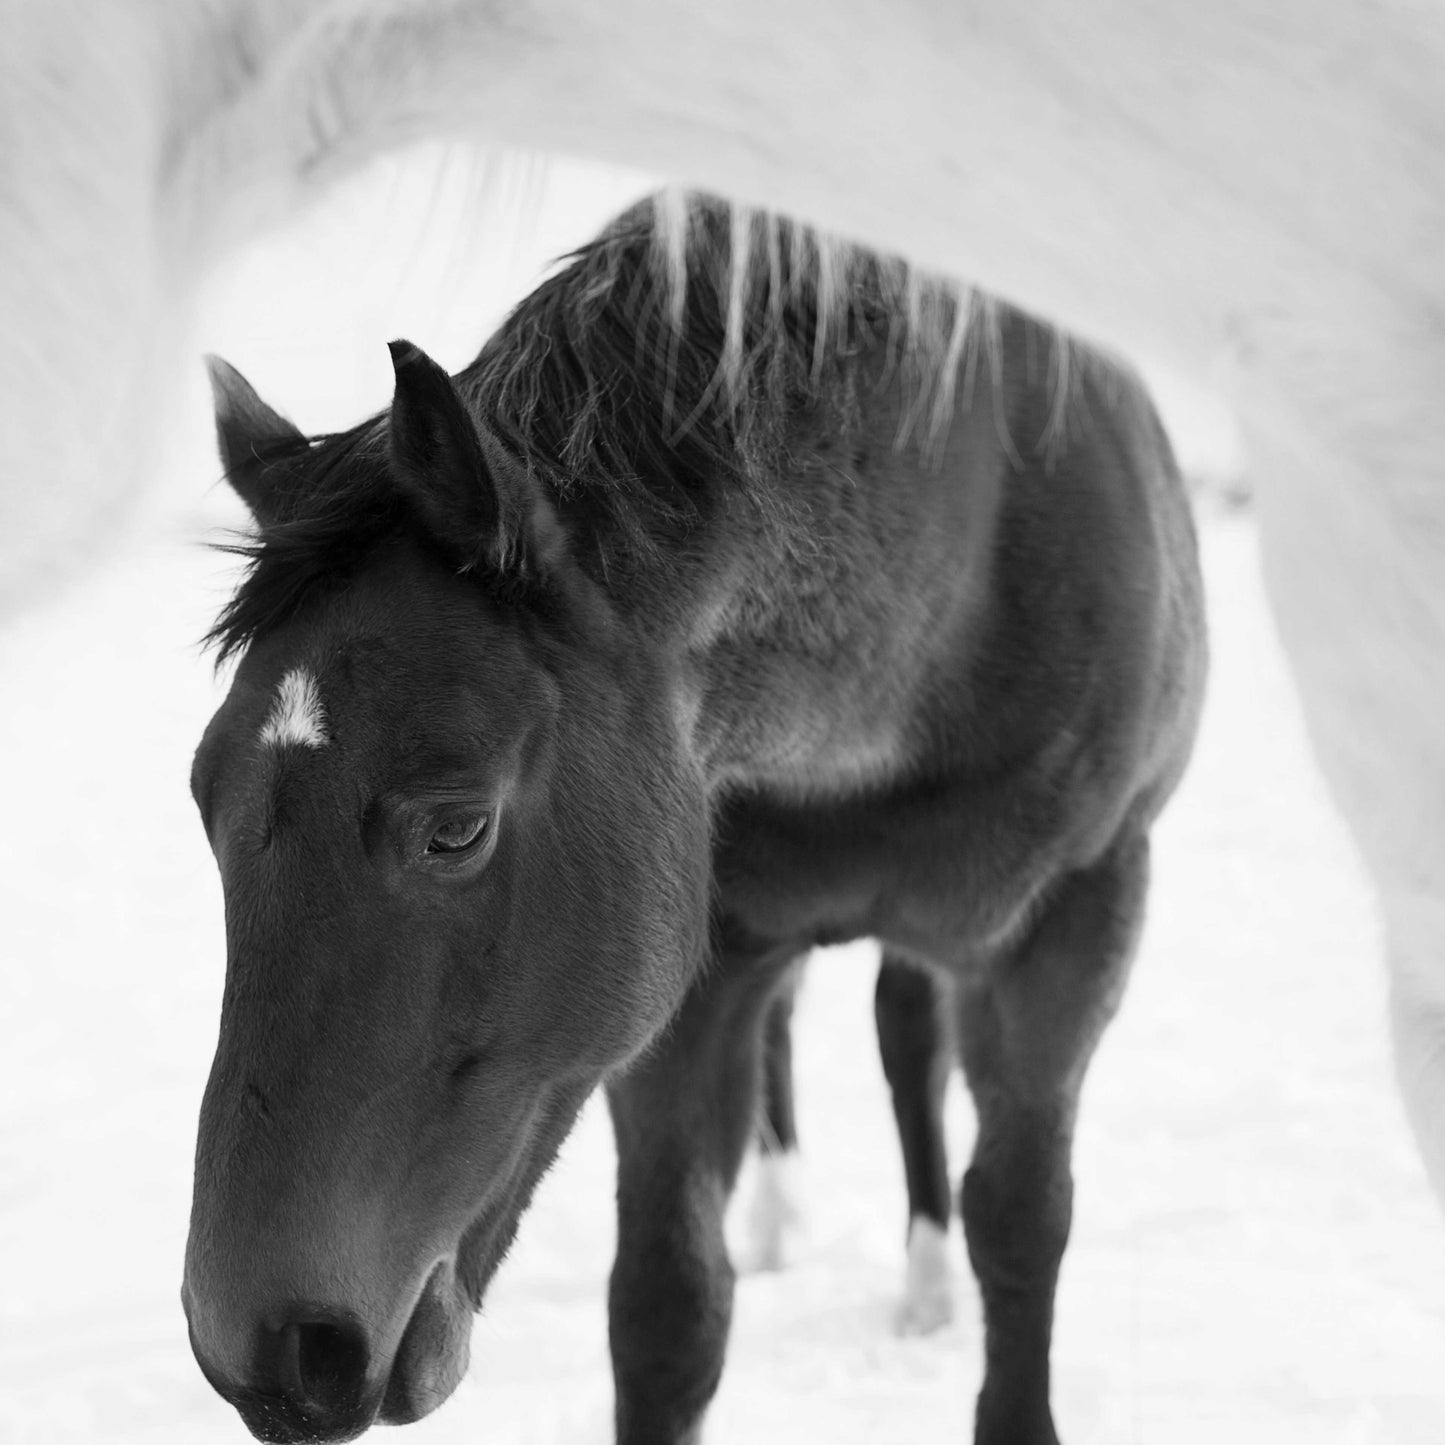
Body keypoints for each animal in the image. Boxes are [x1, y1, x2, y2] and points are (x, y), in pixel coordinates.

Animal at [183, 195, 1208, 1445]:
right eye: (204, 799)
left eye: (456, 827)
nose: (266, 1349)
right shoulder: (691, 973)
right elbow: (668, 1307)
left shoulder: (1076, 917)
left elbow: (1017, 1222)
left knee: (905, 1035)